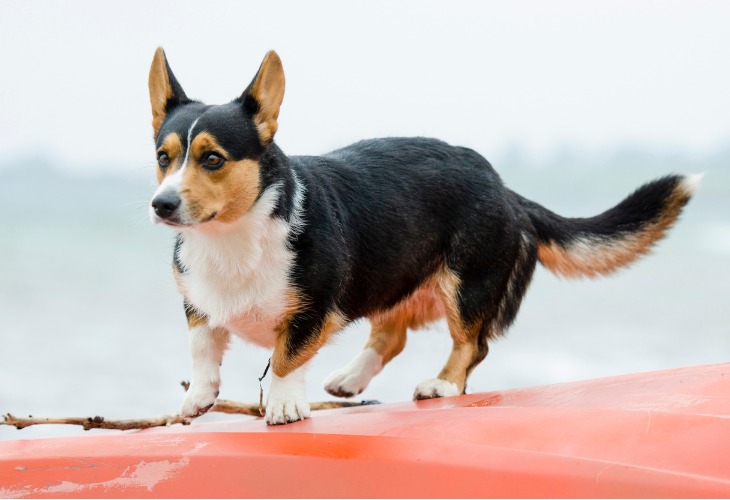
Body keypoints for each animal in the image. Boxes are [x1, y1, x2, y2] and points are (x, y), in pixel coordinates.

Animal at [145, 47, 696, 426]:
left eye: (212, 158)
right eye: (163, 157)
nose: (161, 205)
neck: (231, 235)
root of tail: (506, 189)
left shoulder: (312, 309)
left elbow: (285, 358)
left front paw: (282, 405)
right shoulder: (197, 303)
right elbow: (202, 347)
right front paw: (197, 397)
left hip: (467, 285)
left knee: (472, 345)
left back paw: (442, 385)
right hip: (390, 275)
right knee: (391, 335)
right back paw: (349, 380)